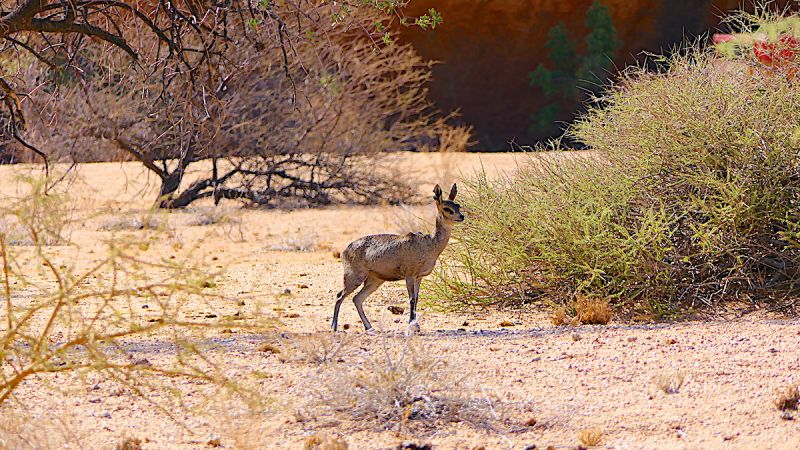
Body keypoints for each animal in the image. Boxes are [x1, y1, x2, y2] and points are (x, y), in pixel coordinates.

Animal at [332, 184, 466, 334]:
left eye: (458, 206)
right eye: (447, 208)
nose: (461, 216)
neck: (429, 244)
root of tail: (345, 250)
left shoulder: (419, 277)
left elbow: (417, 298)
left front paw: (416, 326)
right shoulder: (409, 275)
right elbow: (411, 299)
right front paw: (412, 326)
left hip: (374, 280)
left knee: (357, 298)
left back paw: (369, 327)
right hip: (354, 277)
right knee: (340, 296)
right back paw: (334, 327)